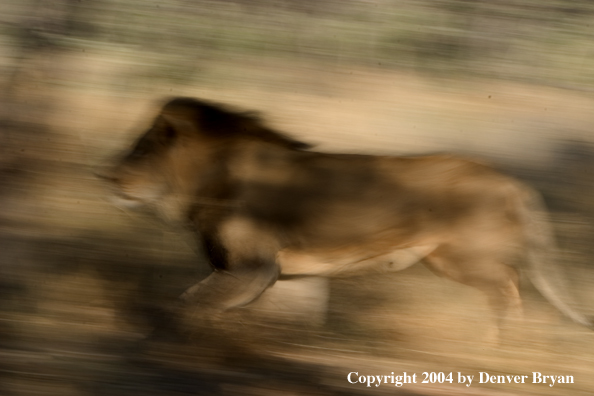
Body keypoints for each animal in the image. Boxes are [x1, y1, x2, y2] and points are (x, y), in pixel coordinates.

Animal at [99, 96, 588, 334]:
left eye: (142, 149)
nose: (106, 174)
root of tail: (510, 181)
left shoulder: (250, 268)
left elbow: (187, 304)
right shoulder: (288, 276)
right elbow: (282, 324)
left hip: (461, 258)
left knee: (509, 285)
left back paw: (505, 344)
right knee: (510, 285)